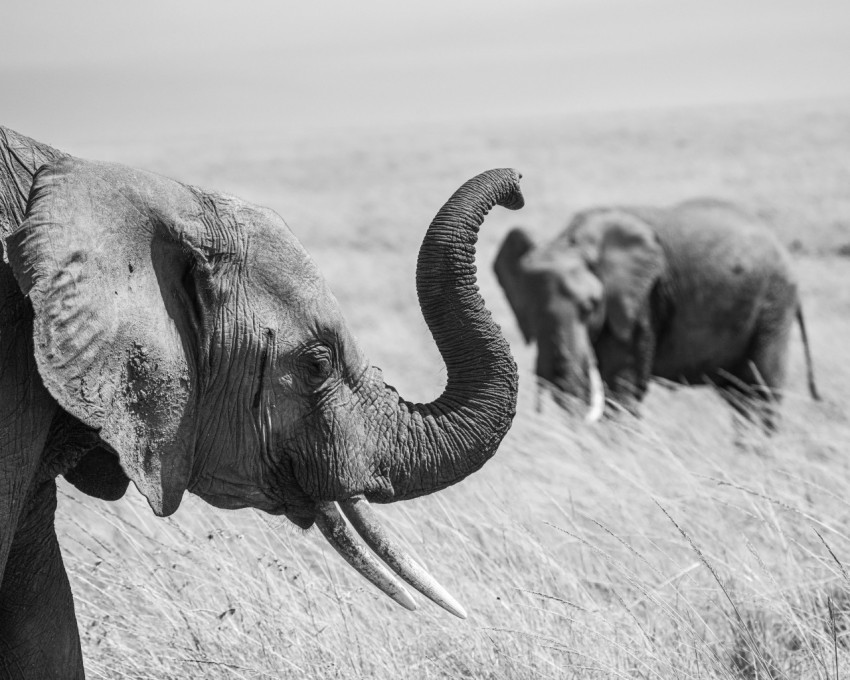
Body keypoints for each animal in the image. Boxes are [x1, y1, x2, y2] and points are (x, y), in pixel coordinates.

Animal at [494, 199, 820, 424]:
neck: (573, 241)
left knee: (760, 391)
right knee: (739, 396)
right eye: (529, 313)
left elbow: (622, 383)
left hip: (773, 306)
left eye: (590, 307)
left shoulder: (642, 300)